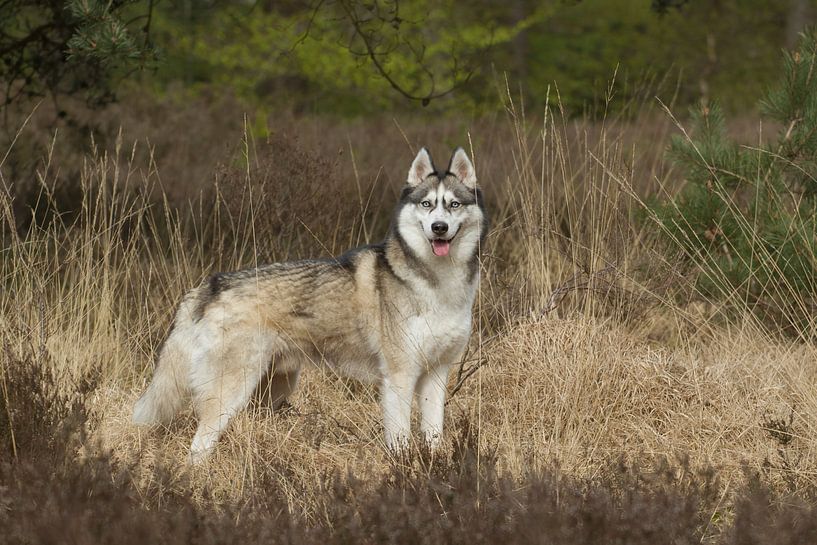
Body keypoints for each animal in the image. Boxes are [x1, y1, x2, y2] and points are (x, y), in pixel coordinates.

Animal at [134, 147, 488, 462]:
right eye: (427, 204)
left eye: (454, 204)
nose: (439, 227)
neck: (438, 284)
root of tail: (210, 285)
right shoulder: (399, 377)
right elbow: (400, 439)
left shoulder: (436, 375)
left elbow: (433, 435)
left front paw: (434, 466)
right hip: (230, 394)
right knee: (197, 448)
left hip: (271, 391)